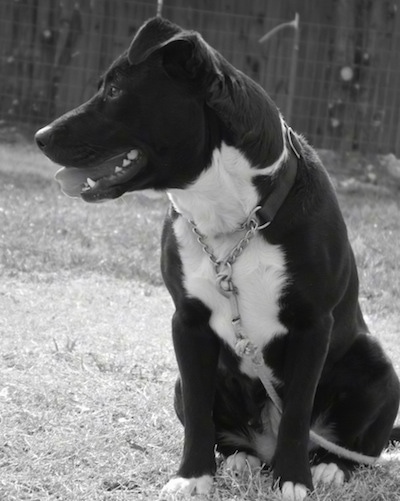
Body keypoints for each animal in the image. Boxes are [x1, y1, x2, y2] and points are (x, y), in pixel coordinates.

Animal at [36, 16, 398, 500]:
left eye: (114, 91)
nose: (41, 137)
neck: (233, 218)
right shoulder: (188, 323)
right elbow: (198, 408)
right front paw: (192, 476)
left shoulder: (312, 327)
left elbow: (298, 413)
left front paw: (293, 480)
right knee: (225, 430)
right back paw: (243, 459)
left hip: (378, 367)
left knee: (356, 444)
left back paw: (327, 467)